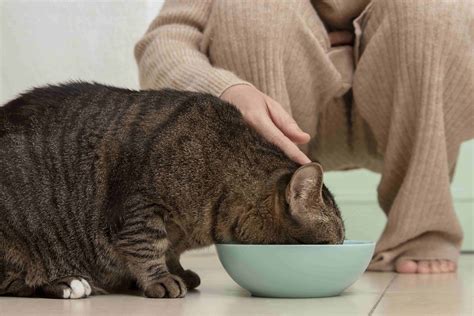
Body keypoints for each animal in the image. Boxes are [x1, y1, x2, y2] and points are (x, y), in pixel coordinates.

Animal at [0, 82, 344, 298]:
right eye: (333, 241)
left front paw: (177, 271)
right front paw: (161, 279)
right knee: (14, 283)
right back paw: (68, 282)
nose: (343, 246)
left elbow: (171, 251)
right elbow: (148, 245)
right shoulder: (138, 207)